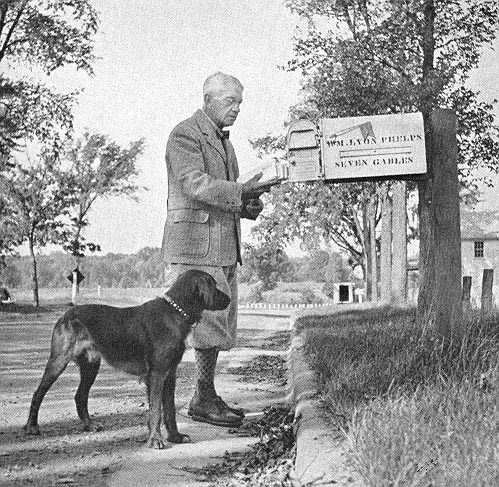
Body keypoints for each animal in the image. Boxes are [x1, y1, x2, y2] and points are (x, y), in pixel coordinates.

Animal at [24, 270, 231, 450]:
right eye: (214, 285)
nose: (229, 300)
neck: (175, 312)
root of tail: (66, 315)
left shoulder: (170, 373)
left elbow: (170, 409)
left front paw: (176, 436)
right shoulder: (156, 375)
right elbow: (156, 410)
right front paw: (155, 440)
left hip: (91, 365)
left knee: (80, 396)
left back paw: (89, 425)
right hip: (59, 361)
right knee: (38, 393)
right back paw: (32, 427)